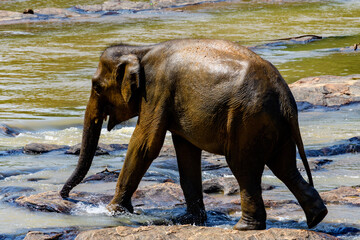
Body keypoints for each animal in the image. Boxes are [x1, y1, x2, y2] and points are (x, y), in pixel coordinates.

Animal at [60, 39, 328, 231]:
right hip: (273, 125)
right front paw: (189, 219)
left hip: (247, 119)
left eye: (96, 87)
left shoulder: (156, 91)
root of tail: (285, 97)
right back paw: (317, 217)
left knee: (244, 167)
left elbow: (145, 145)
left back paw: (244, 228)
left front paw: (111, 211)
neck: (139, 49)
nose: (66, 196)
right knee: (284, 166)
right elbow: (186, 151)